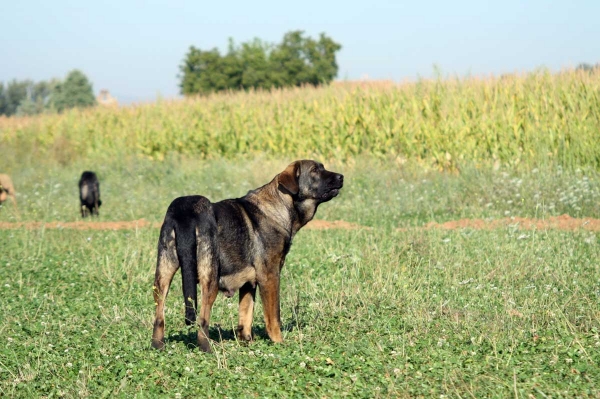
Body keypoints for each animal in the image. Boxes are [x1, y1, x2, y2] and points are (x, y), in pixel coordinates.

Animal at [152, 159, 344, 354]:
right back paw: (207, 348)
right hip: (210, 277)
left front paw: (246, 342)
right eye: (314, 170)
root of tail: (186, 212)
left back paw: (157, 346)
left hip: (163, 275)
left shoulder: (249, 283)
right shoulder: (270, 276)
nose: (341, 177)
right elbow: (273, 316)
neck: (280, 205)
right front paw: (278, 342)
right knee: (203, 319)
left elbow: (245, 315)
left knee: (159, 317)